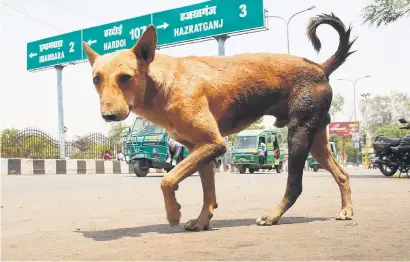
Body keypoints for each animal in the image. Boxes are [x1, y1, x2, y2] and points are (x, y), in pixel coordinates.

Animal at [82, 12, 356, 231]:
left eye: (125, 77)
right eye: (96, 79)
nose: (108, 116)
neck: (165, 83)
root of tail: (320, 67)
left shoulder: (213, 144)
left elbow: (167, 180)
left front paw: (173, 213)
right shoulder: (200, 149)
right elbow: (208, 193)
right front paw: (202, 221)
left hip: (298, 134)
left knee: (295, 185)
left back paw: (273, 216)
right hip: (316, 140)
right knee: (341, 174)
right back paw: (346, 210)